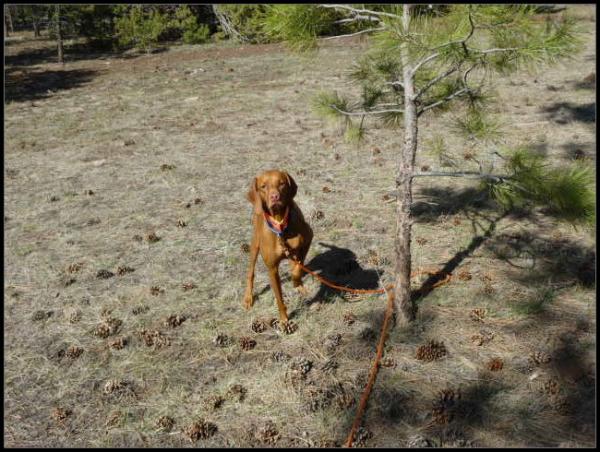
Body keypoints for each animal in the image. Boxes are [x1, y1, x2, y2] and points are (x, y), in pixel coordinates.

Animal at [243, 170, 313, 323]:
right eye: (263, 186)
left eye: (281, 183)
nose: (275, 197)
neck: (280, 223)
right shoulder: (272, 269)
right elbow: (279, 298)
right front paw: (284, 320)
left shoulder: (308, 240)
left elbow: (297, 269)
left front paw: (297, 283)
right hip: (254, 244)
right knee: (250, 272)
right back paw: (248, 297)